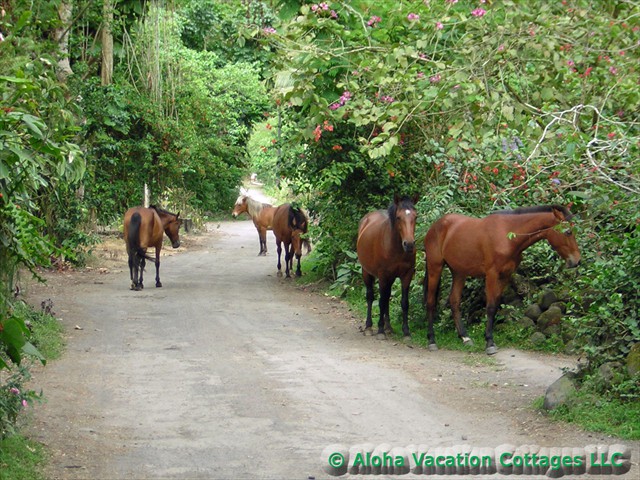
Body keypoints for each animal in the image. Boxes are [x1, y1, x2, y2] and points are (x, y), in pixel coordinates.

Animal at [356, 195, 419, 340]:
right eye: (398, 217)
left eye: (415, 216)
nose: (409, 244)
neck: (396, 248)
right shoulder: (383, 276)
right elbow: (380, 301)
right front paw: (380, 330)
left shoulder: (407, 275)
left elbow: (404, 302)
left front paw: (406, 331)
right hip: (366, 272)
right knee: (370, 296)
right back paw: (369, 327)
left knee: (387, 296)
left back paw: (388, 326)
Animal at [423, 205, 581, 355]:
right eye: (568, 232)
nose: (577, 261)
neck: (508, 235)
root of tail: (436, 225)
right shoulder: (492, 274)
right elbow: (491, 307)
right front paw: (489, 343)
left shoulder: (506, 276)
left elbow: (496, 304)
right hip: (435, 267)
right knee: (431, 302)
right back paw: (431, 340)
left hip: (459, 272)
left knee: (454, 301)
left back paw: (465, 337)